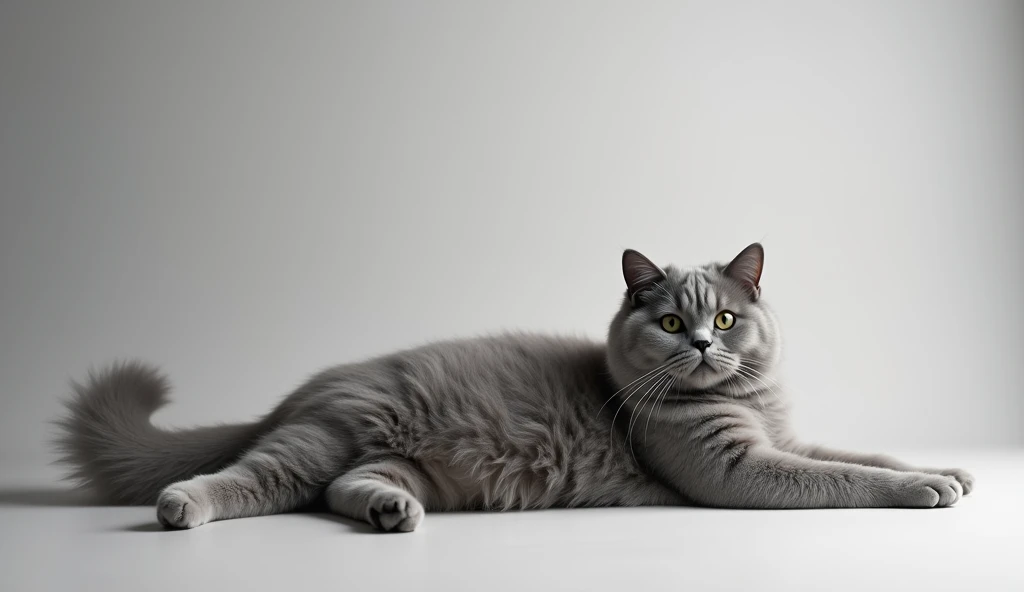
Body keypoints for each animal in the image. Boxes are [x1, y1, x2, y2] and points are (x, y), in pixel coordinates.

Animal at [51, 242, 970, 528]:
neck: (745, 399)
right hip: (317, 439)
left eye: (726, 318)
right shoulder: (735, 469)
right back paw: (182, 505)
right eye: (672, 325)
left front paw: (946, 471)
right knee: (246, 477)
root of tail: (308, 386)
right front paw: (922, 488)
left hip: (398, 460)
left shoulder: (784, 435)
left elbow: (855, 452)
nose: (707, 343)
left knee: (349, 487)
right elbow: (837, 476)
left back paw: (391, 514)